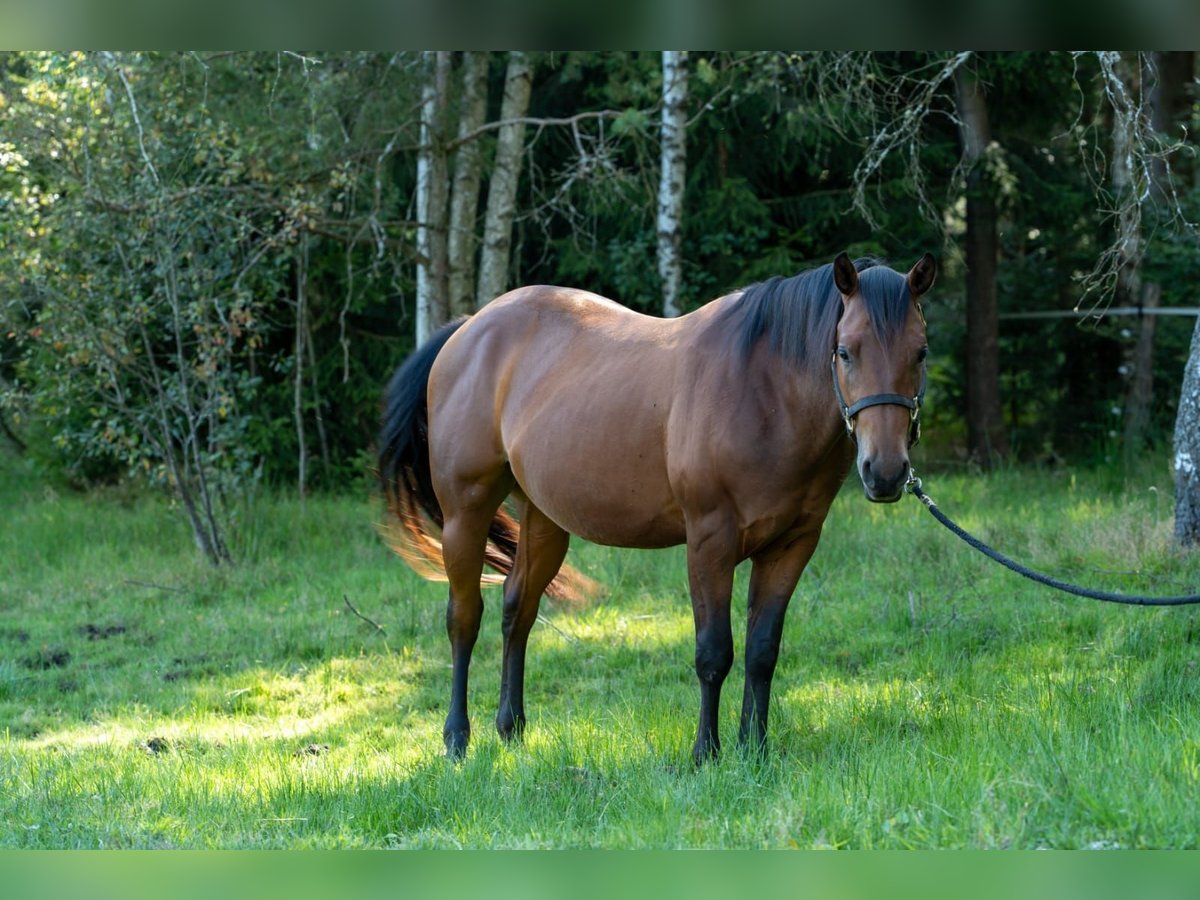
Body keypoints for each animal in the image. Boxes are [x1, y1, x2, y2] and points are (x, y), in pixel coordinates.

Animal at [379, 252, 931, 763]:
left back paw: (510, 728)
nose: (885, 472)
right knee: (464, 617)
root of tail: (469, 329)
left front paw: (754, 750)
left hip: (543, 519)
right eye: (844, 351)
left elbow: (762, 652)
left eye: (921, 352)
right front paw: (706, 752)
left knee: (519, 611)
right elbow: (714, 653)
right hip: (465, 513)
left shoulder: (791, 545)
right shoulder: (709, 542)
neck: (762, 389)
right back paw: (457, 738)